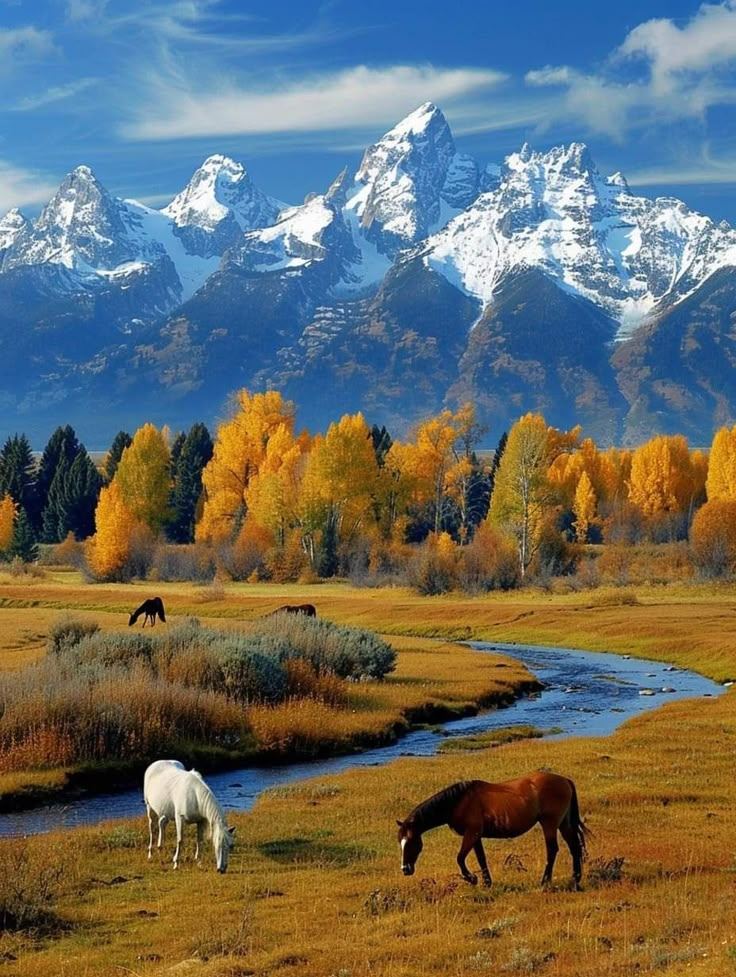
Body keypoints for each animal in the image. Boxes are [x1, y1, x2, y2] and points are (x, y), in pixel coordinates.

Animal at [396, 772, 588, 888]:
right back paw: (576, 879)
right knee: (574, 847)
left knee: (552, 850)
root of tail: (565, 781)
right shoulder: (476, 836)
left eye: (411, 842)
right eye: (400, 842)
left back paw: (545, 881)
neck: (458, 801)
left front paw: (472, 879)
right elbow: (481, 859)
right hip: (564, 823)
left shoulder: (471, 833)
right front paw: (487, 883)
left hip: (549, 823)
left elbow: (460, 858)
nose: (405, 869)